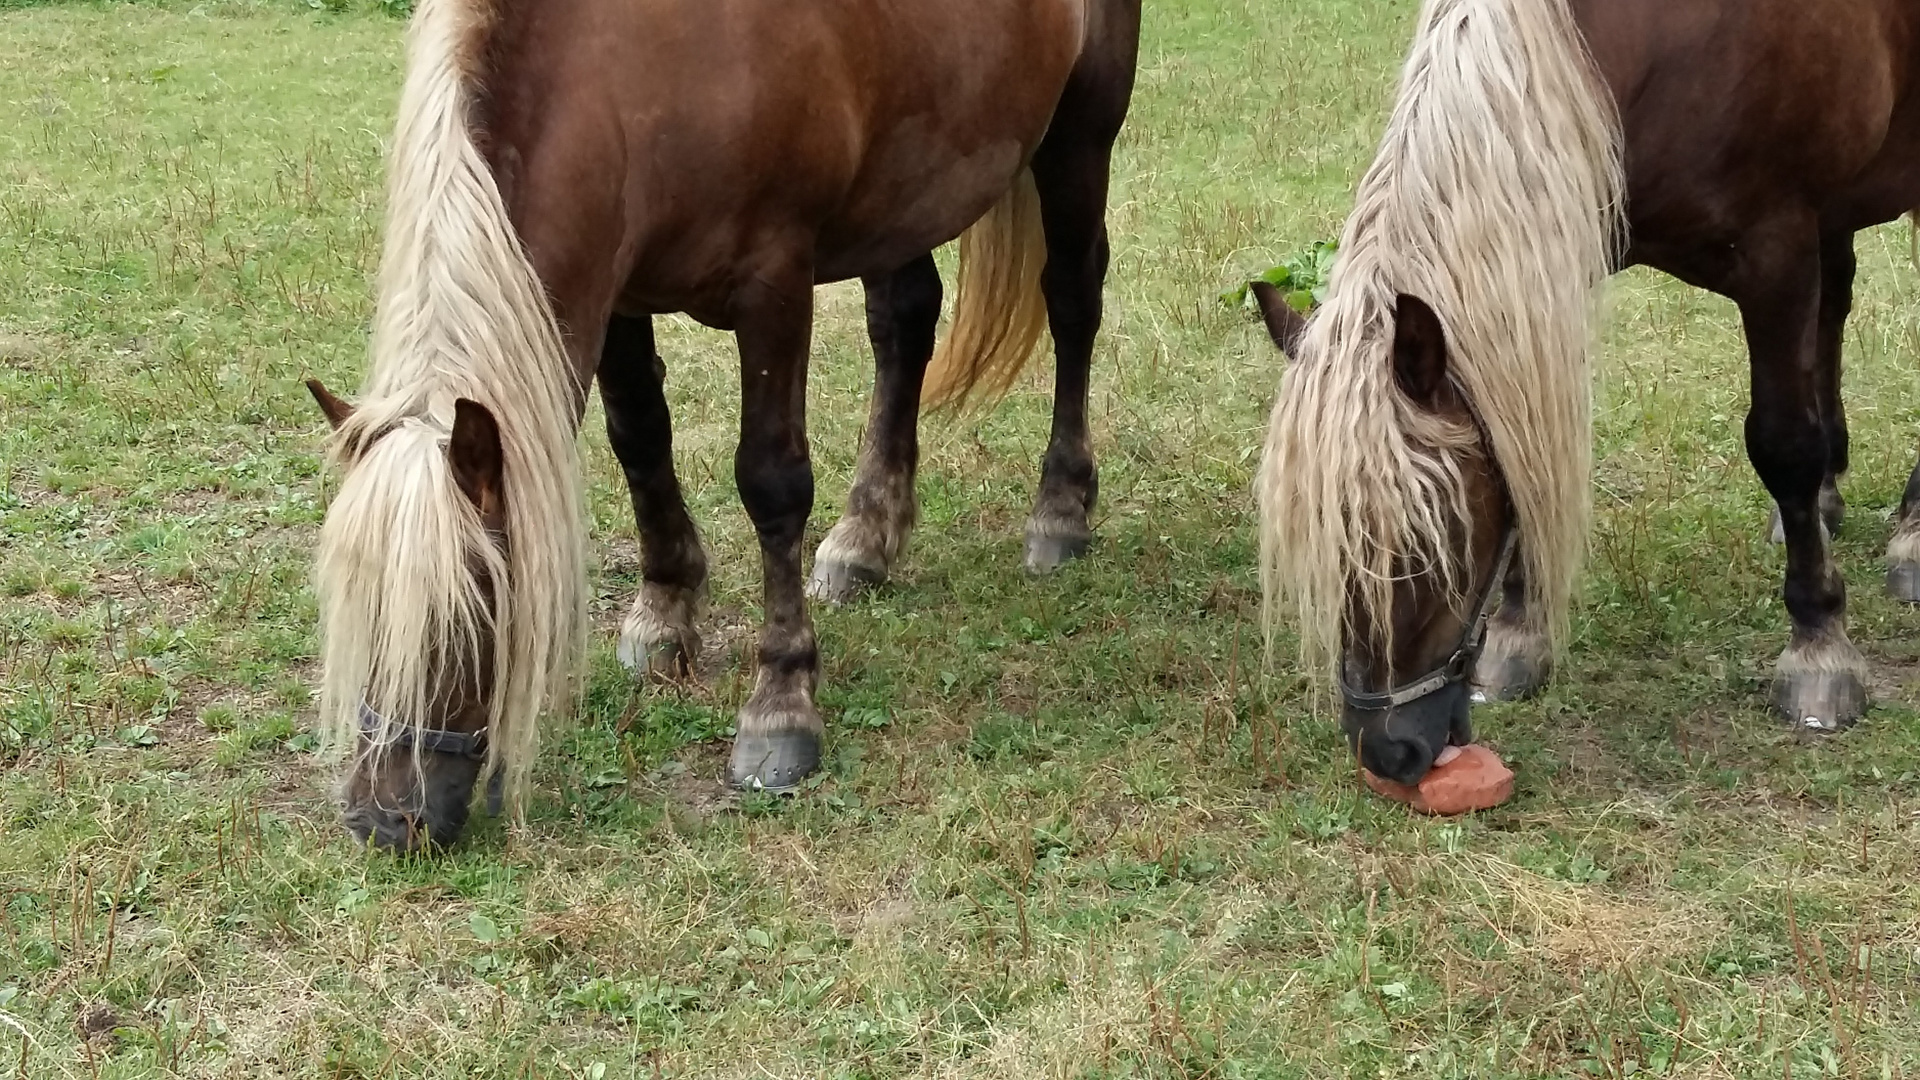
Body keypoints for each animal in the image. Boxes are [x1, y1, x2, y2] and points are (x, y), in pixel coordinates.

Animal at [305, 0, 1128, 845]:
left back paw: (1060, 511)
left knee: (1072, 296)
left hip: (1082, 131)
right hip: (905, 186)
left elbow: (771, 484)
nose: (382, 817)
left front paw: (780, 706)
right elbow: (639, 439)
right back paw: (865, 540)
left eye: (464, 614)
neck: (635, 70)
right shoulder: (618, 290)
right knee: (904, 319)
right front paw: (663, 614)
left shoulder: (774, 284)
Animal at [1251, 0, 1920, 780]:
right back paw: (1827, 501)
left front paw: (1819, 643)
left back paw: (1911, 533)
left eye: (1432, 539)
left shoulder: (1776, 255)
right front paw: (1519, 631)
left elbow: (1785, 446)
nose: (1387, 748)